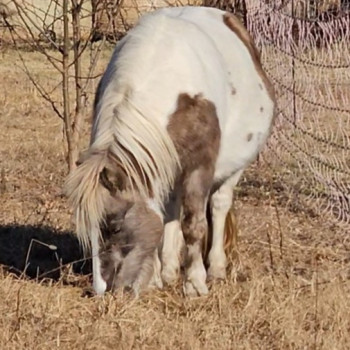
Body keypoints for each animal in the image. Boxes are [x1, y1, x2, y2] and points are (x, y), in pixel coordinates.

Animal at [63, 5, 276, 296]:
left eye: (115, 227)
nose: (101, 288)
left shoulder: (200, 168)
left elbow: (194, 224)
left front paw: (195, 283)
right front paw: (155, 278)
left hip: (233, 169)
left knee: (219, 206)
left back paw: (216, 269)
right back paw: (169, 271)